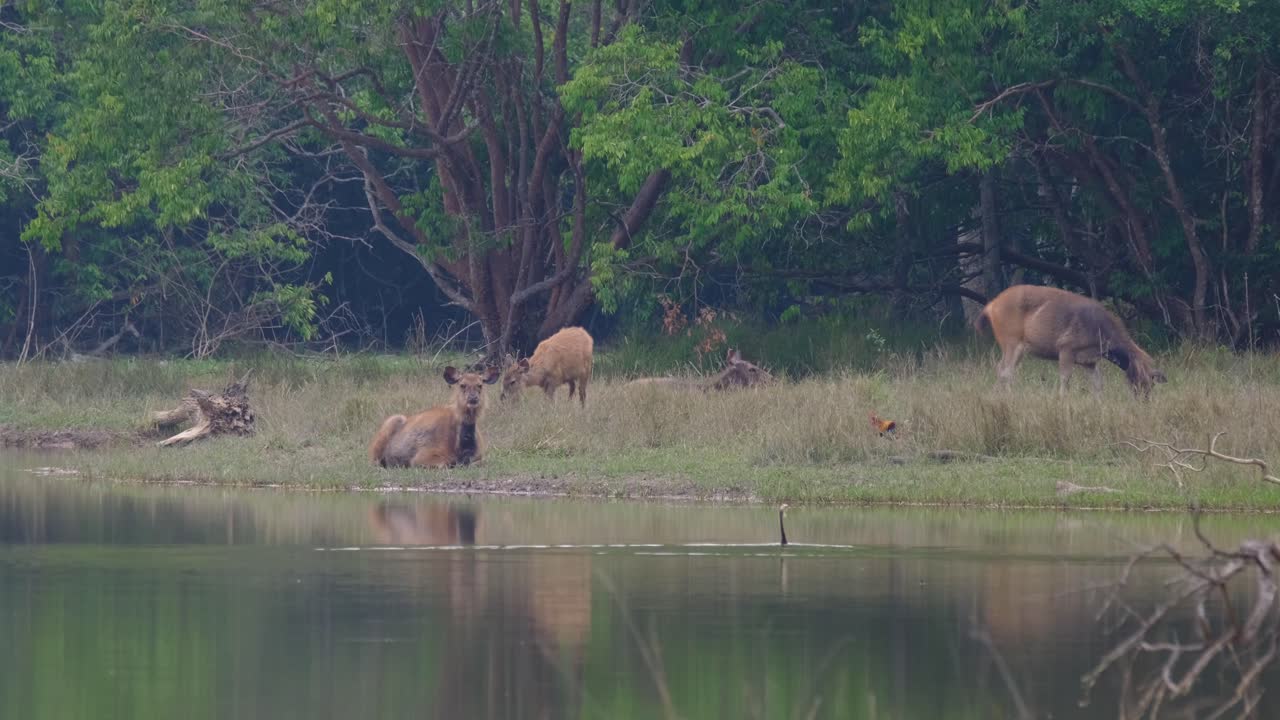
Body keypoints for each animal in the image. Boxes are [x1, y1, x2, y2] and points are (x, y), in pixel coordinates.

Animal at [368, 365, 501, 468]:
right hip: (389, 425)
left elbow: (480, 462)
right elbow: (445, 464)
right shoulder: (423, 456)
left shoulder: (480, 455)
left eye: (480, 385)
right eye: (462, 385)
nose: (473, 398)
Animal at [975, 284, 1167, 398]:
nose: (1144, 400)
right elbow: (1065, 380)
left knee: (1001, 369)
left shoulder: (1089, 361)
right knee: (1006, 371)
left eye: (1151, 384)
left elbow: (1098, 384)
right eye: (1140, 381)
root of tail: (990, 306)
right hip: (1011, 340)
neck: (1101, 336)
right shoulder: (1066, 347)